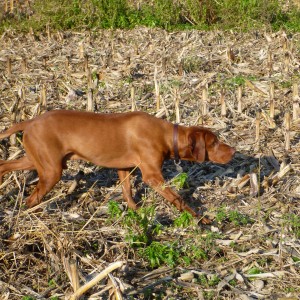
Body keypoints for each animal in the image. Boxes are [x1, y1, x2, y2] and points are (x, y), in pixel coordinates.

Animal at [0, 110, 234, 223]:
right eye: (214, 143)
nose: (233, 151)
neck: (167, 136)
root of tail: (30, 122)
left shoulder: (124, 168)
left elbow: (128, 193)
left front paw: (137, 213)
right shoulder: (152, 176)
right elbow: (178, 198)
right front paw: (201, 218)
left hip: (35, 159)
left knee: (4, 165)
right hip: (51, 171)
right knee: (32, 198)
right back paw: (33, 214)